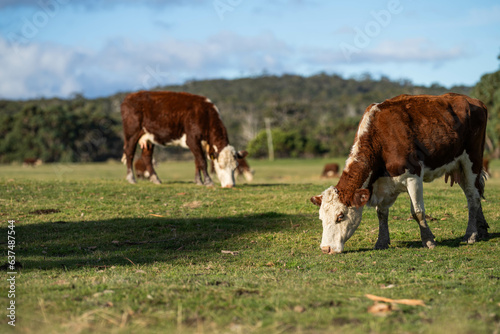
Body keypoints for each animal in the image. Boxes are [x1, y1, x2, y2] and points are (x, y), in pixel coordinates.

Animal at [308, 92, 488, 254]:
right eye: (321, 218)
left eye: (340, 216)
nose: (326, 248)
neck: (380, 139)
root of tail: (474, 101)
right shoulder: (381, 184)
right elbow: (381, 214)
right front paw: (381, 242)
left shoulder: (413, 177)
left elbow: (417, 212)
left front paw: (428, 240)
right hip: (459, 166)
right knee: (473, 193)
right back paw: (482, 230)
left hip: (472, 160)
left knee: (473, 196)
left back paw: (471, 234)